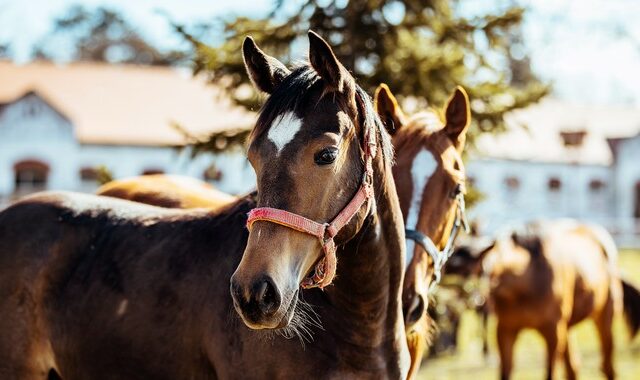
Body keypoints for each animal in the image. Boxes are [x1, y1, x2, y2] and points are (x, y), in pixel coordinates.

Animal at [450, 220, 640, 380]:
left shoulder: (553, 332)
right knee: (573, 368)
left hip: (604, 316)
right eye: (447, 269)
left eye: (465, 271)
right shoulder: (505, 330)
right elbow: (505, 372)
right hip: (567, 327)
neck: (527, 277)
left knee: (608, 367)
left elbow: (550, 373)